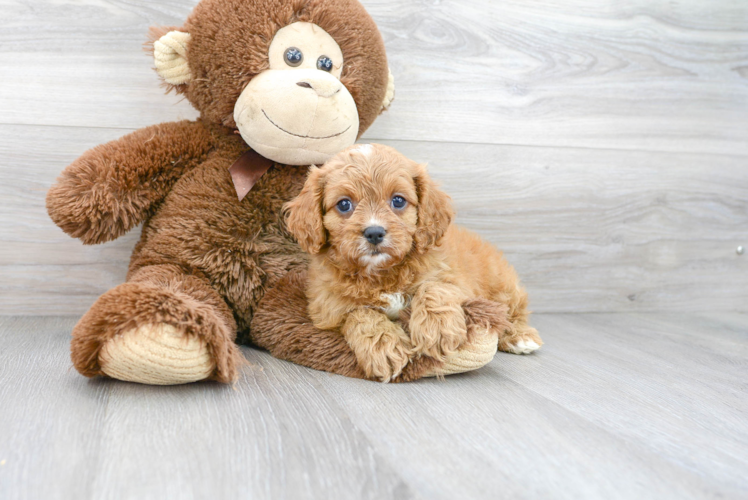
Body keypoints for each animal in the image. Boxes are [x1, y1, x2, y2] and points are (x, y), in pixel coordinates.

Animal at [284, 143, 540, 380]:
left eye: (398, 201)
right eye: (344, 204)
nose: (374, 232)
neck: (382, 272)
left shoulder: (456, 278)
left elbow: (435, 287)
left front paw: (438, 328)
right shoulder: (327, 307)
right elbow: (359, 314)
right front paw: (384, 347)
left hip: (503, 286)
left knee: (513, 312)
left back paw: (521, 337)